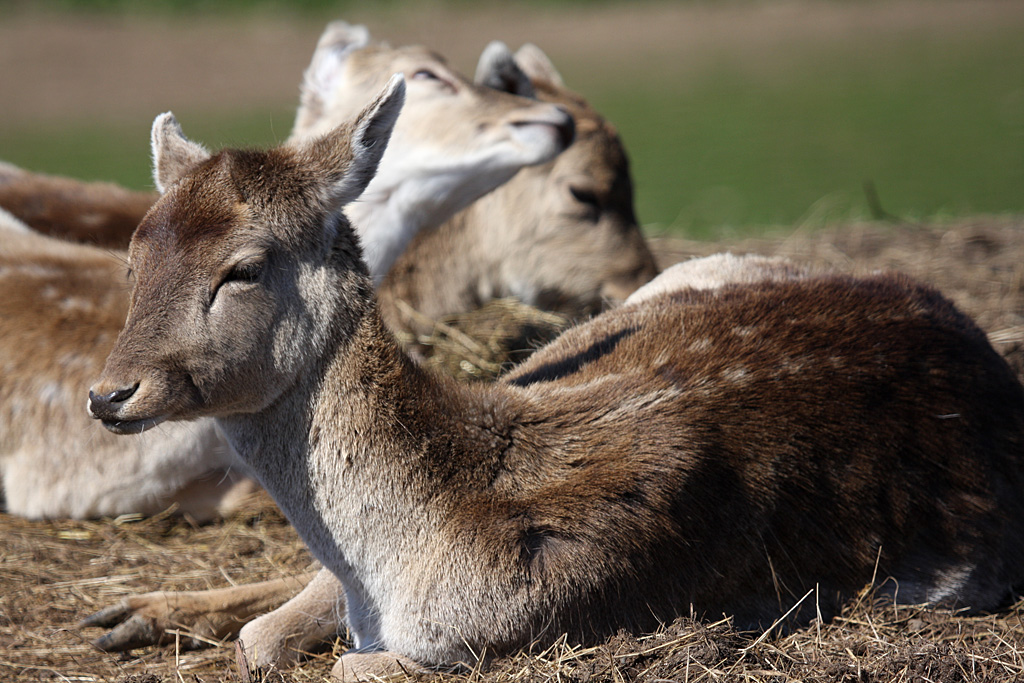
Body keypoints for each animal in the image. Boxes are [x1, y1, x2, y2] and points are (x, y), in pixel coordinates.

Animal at [86, 73, 1024, 682]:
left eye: (242, 268)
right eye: (133, 257)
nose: (109, 393)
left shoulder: (518, 622)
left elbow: (348, 662)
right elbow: (279, 634)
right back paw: (126, 612)